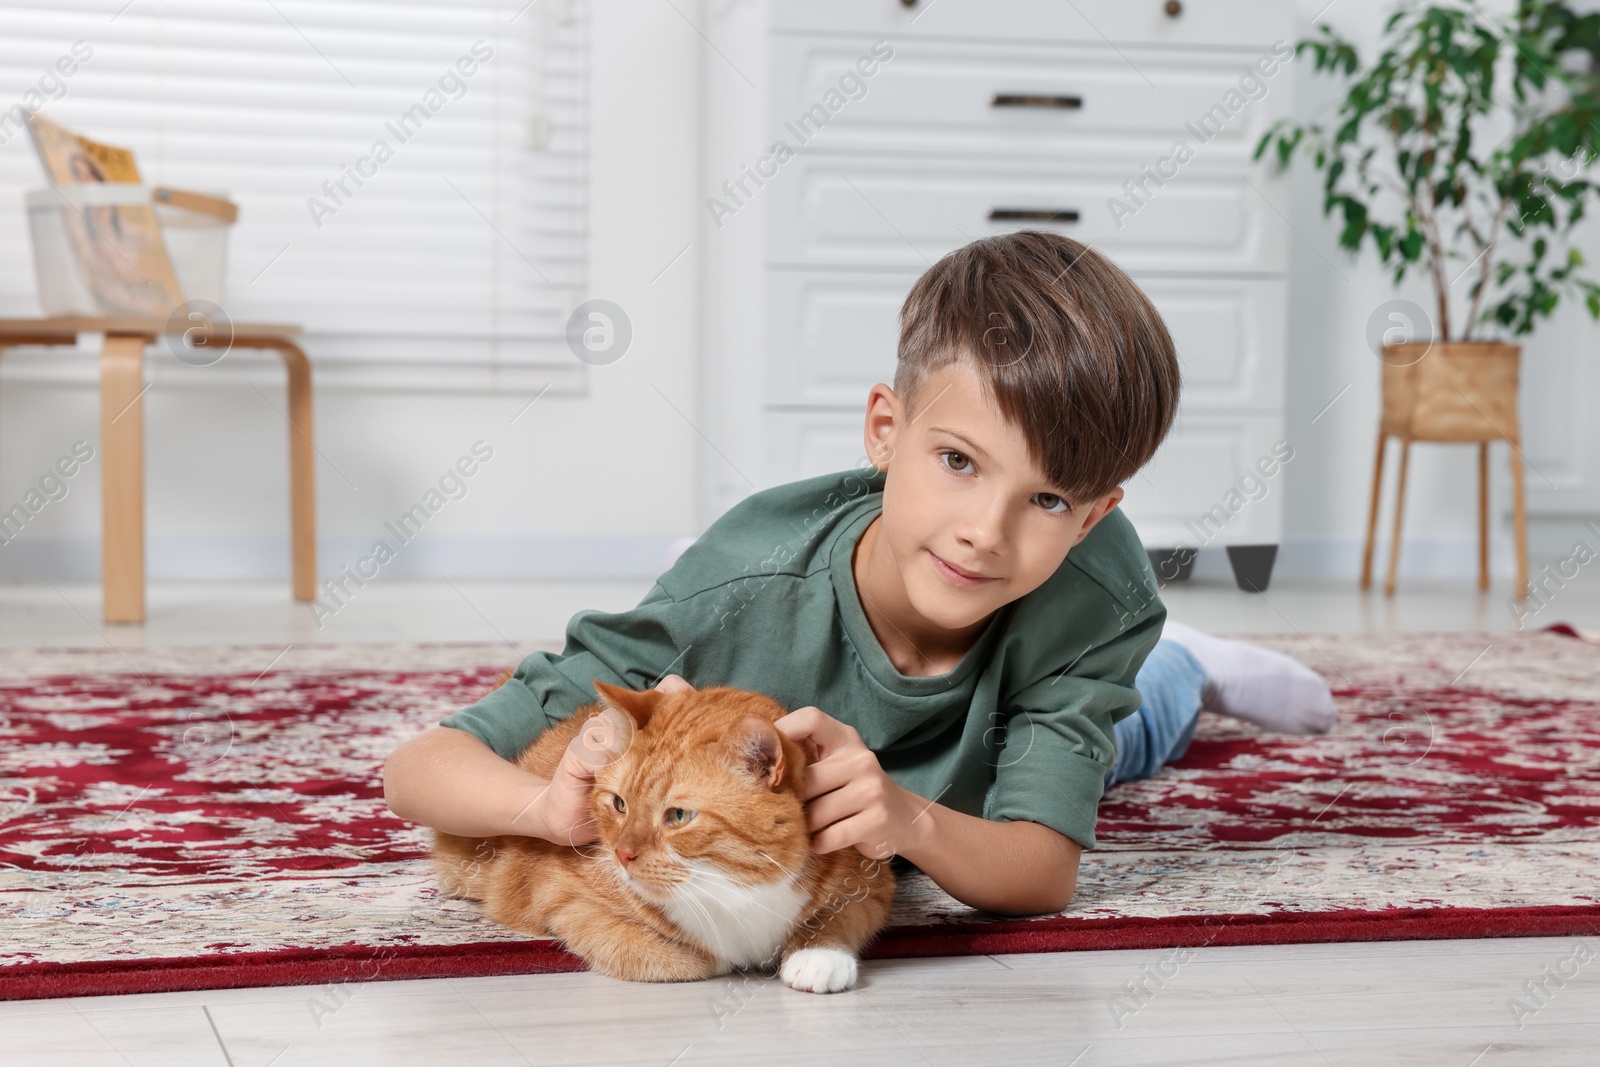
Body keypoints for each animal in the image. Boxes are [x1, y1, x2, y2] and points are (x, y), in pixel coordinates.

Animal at [432, 684, 896, 991]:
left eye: (678, 816)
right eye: (619, 804)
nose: (622, 854)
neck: (733, 884)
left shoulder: (869, 879)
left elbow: (837, 918)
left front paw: (818, 955)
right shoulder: (557, 895)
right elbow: (662, 952)